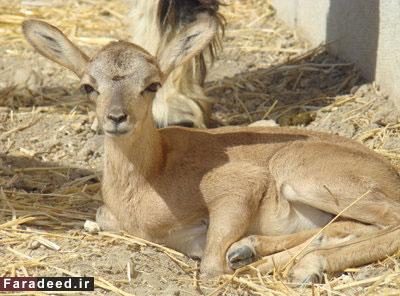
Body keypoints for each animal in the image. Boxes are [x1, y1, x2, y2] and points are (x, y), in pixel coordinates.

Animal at [23, 18, 400, 282]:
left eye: (152, 84)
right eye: (88, 86)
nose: (117, 117)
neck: (150, 179)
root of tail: (390, 174)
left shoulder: (240, 186)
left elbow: (211, 268)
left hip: (303, 176)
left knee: (389, 220)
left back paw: (303, 266)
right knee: (353, 226)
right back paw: (253, 251)